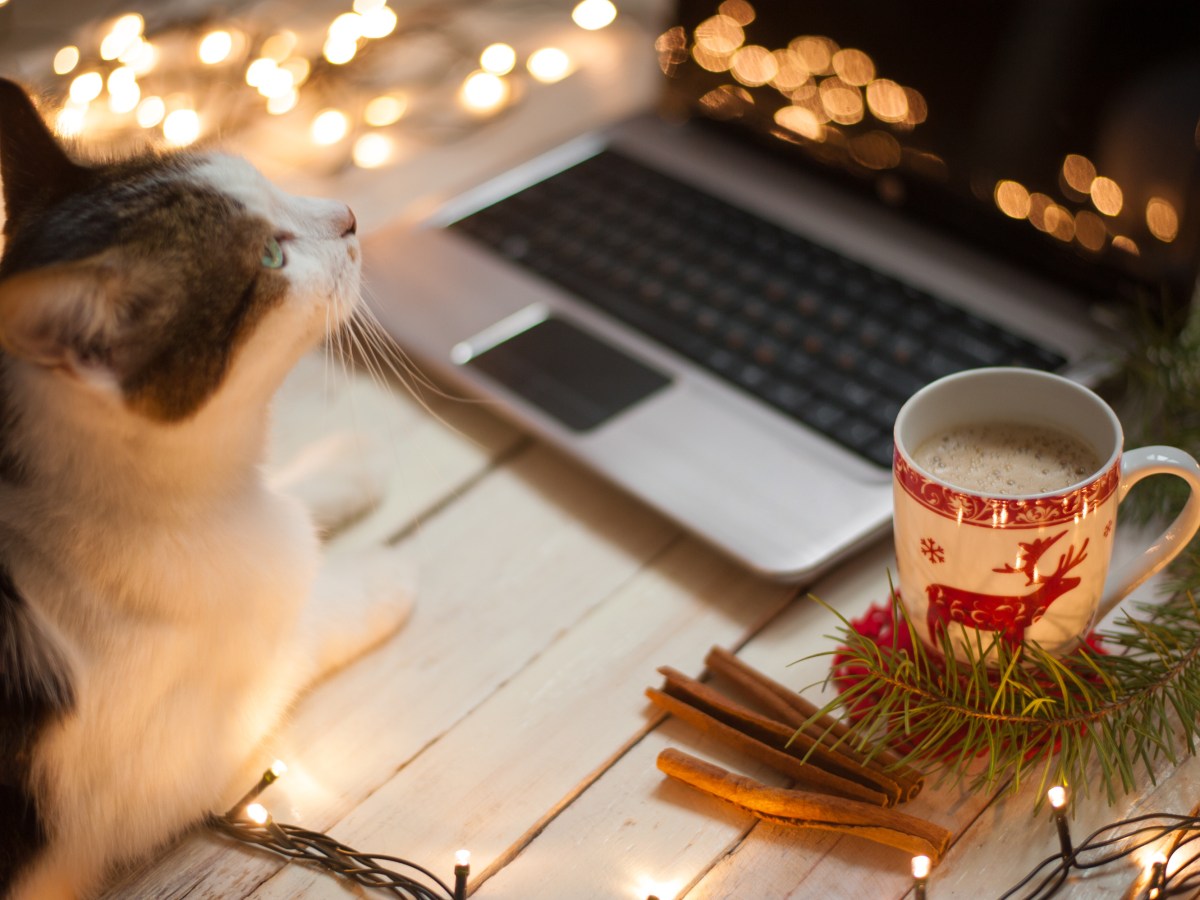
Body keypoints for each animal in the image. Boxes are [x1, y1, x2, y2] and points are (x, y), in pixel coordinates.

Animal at [0, 79, 412, 900]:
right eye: (271, 256)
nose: (348, 214)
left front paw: (344, 464)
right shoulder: (184, 762)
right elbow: (308, 620)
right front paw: (381, 573)